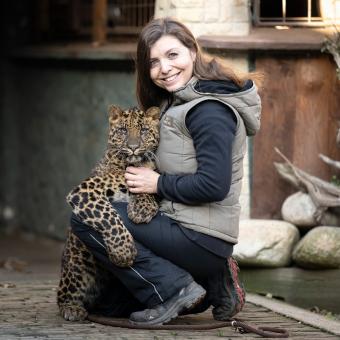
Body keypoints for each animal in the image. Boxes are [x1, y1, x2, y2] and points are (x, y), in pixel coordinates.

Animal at [56, 105, 160, 320]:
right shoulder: (84, 192)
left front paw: (142, 208)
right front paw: (124, 252)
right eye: (123, 131)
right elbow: (109, 217)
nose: (133, 147)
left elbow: (145, 186)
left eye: (144, 131)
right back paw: (72, 308)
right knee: (63, 295)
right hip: (78, 267)